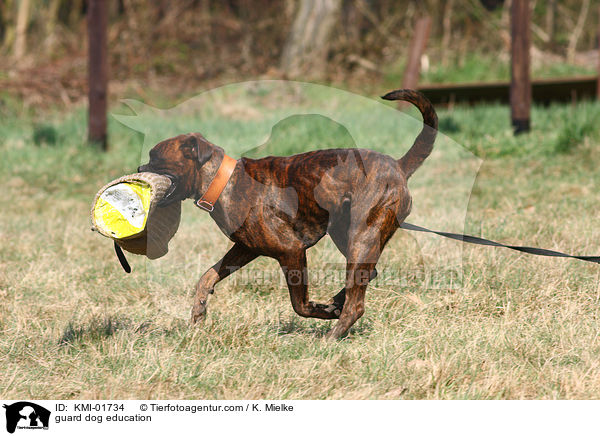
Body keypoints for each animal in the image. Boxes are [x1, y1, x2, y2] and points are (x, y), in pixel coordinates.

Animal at [138, 89, 438, 340]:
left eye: (155, 157)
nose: (139, 167)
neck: (222, 182)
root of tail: (398, 165)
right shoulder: (244, 249)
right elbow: (208, 276)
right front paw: (199, 309)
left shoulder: (291, 251)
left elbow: (300, 304)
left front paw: (321, 311)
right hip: (347, 236)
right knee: (369, 275)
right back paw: (337, 303)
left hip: (361, 238)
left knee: (357, 304)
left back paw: (332, 335)